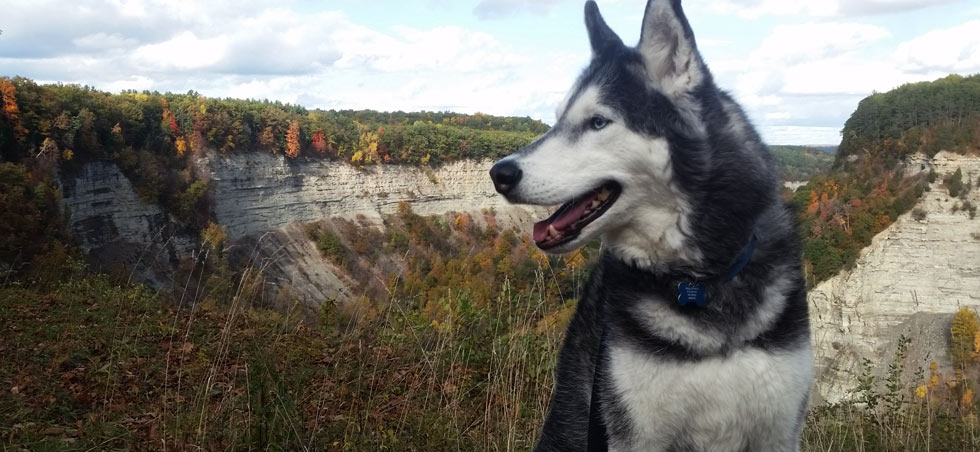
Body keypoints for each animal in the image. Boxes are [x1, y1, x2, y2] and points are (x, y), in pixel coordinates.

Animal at [488, 0, 812, 452]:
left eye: (598, 122)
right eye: (556, 121)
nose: (499, 174)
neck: (698, 282)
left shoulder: (779, 432)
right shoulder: (635, 432)